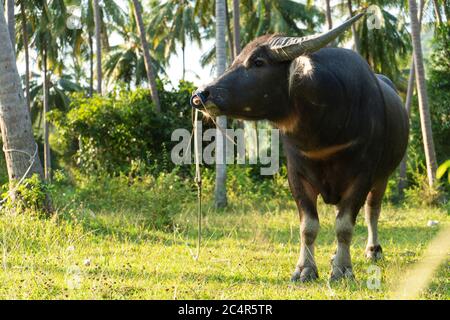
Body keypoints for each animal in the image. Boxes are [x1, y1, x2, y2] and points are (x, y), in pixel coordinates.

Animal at [190, 13, 408, 282]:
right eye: (236, 60)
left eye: (258, 61)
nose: (201, 94)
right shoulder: (297, 174)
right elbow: (309, 226)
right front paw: (305, 269)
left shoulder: (362, 175)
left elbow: (345, 225)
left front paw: (342, 270)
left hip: (383, 177)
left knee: (372, 211)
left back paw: (372, 250)